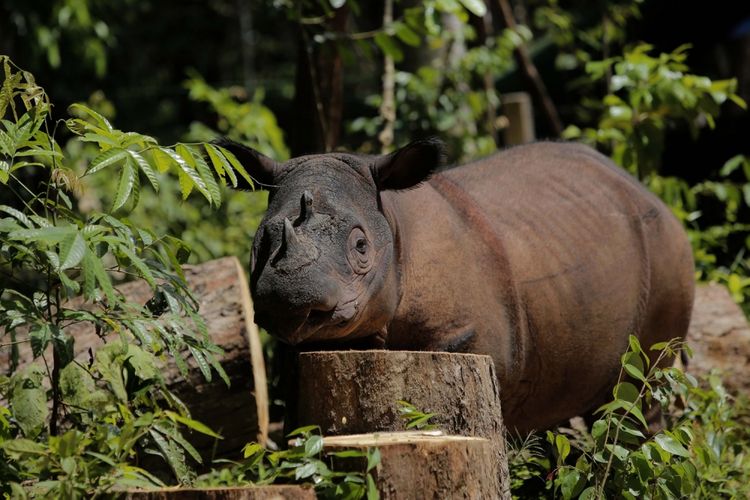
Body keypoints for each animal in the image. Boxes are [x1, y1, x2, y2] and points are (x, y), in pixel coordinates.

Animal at [220, 138, 696, 434]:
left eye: (361, 246)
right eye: (260, 244)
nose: (290, 300)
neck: (393, 223)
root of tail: (650, 194)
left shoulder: (468, 338)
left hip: (667, 250)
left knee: (638, 393)